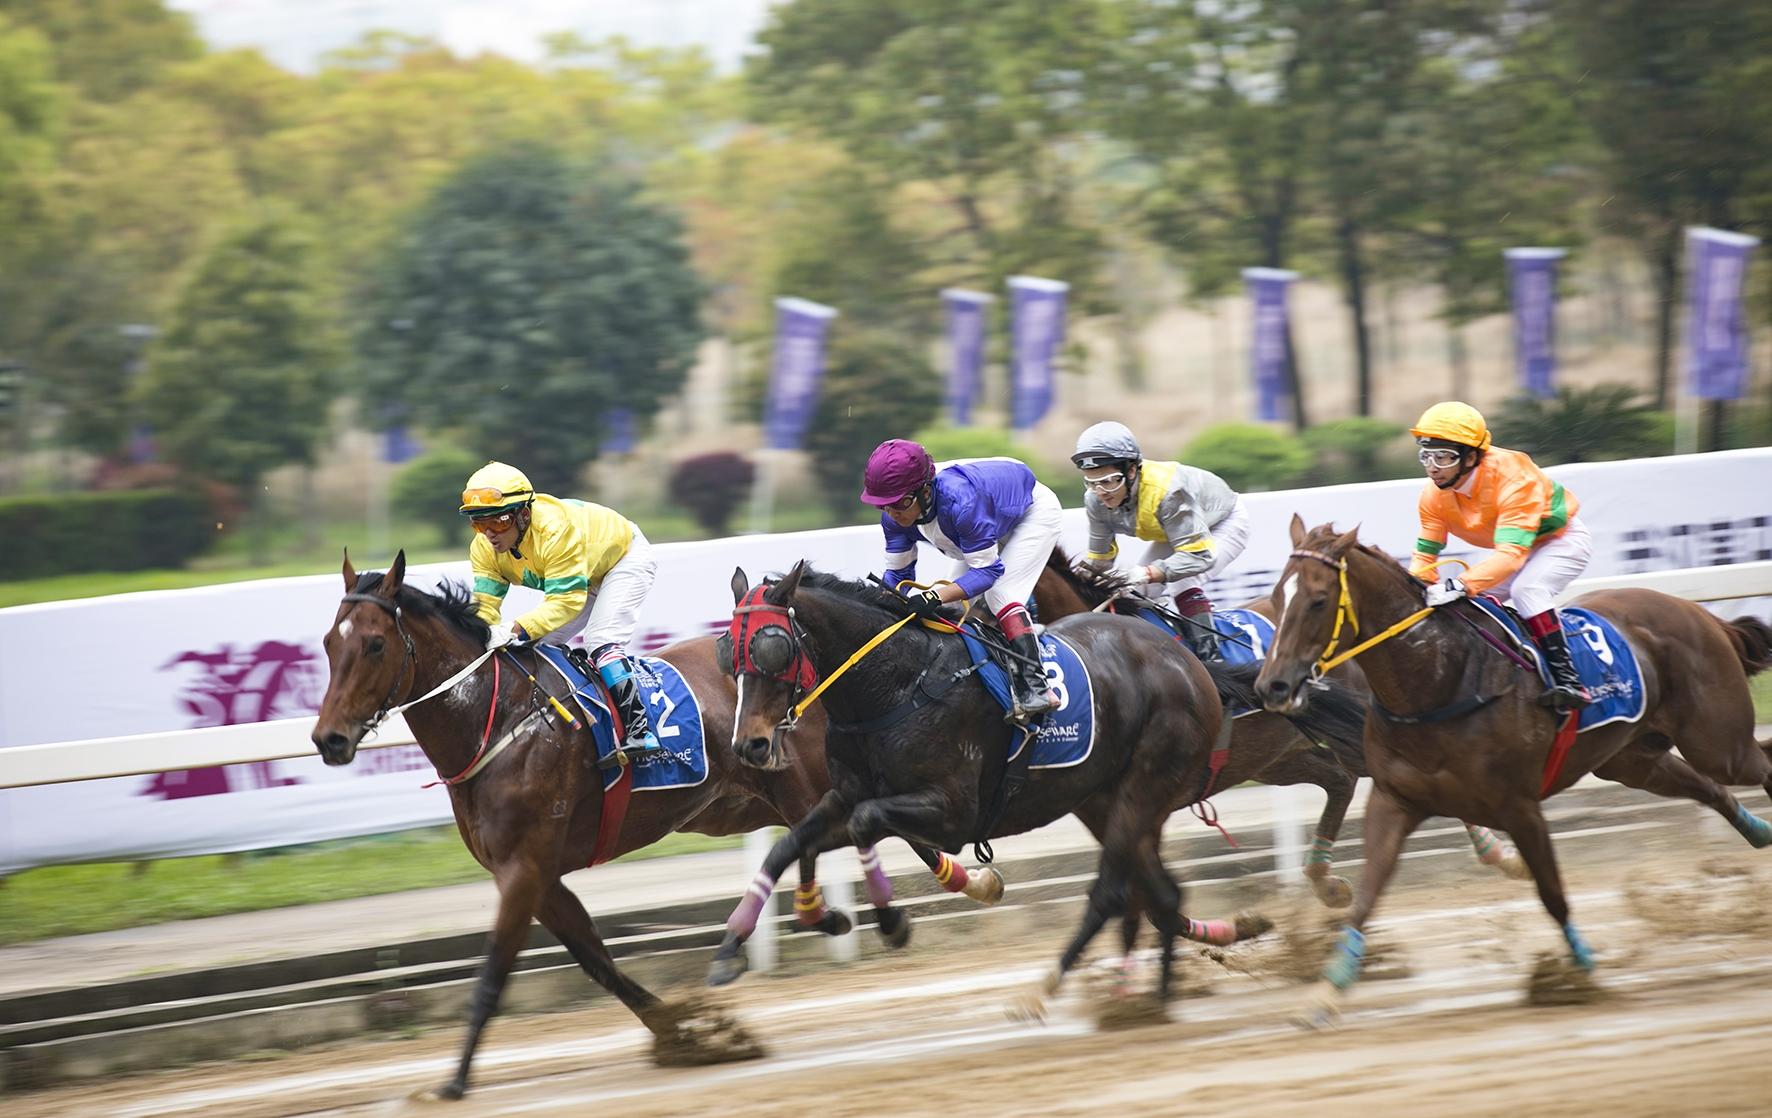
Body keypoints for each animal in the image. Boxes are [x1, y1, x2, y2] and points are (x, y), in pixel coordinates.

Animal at [308, 552, 994, 1100]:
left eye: (374, 644)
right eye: (327, 645)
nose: (328, 739)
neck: (496, 720)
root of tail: (818, 671)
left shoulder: (524, 867)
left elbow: (494, 973)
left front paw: (452, 1081)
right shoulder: (539, 875)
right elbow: (597, 961)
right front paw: (686, 1034)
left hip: (802, 784)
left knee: (873, 829)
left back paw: (924, 894)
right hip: (758, 798)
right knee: (850, 834)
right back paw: (866, 905)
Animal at [708, 561, 1370, 1015]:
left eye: (772, 646)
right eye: (725, 652)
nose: (751, 745)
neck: (895, 684)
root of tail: (1193, 665)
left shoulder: (952, 810)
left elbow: (871, 824)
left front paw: (895, 917)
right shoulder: (845, 792)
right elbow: (789, 843)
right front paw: (738, 946)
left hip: (1148, 784)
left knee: (1117, 891)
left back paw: (1048, 987)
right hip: (1107, 797)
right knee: (1161, 894)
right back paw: (1166, 987)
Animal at [1255, 516, 1772, 1026]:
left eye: (1318, 599)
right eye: (1277, 597)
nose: (1271, 685)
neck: (1439, 680)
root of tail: (1696, 612)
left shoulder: (1519, 806)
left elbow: (1551, 892)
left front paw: (1578, 971)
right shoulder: (1394, 800)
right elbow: (1366, 896)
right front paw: (1325, 994)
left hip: (1718, 741)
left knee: (1755, 763)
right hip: (1635, 760)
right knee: (1710, 788)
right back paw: (1759, 831)